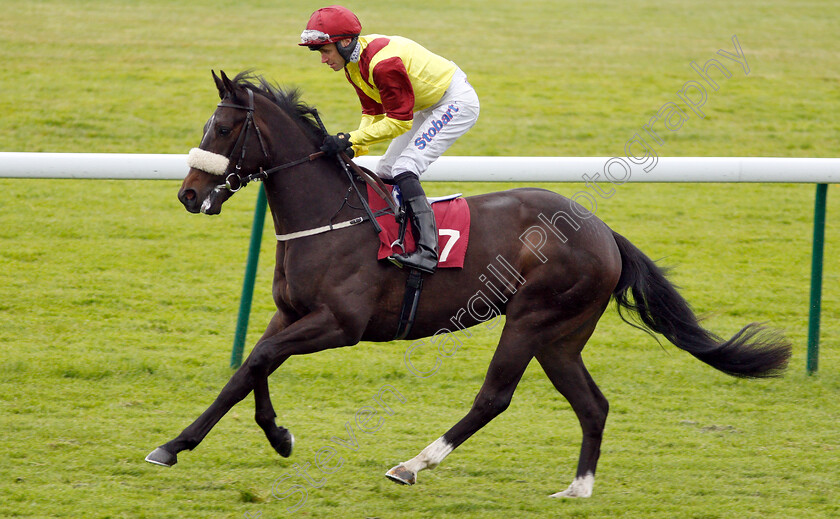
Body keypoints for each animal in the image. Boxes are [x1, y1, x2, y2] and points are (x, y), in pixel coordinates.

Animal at [146, 70, 796, 500]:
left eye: (223, 126)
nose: (188, 195)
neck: (331, 216)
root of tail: (603, 231)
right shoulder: (290, 314)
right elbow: (249, 368)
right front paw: (202, 442)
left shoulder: (339, 325)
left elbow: (260, 359)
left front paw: (262, 436)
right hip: (561, 337)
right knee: (593, 403)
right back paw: (577, 489)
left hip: (532, 318)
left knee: (494, 397)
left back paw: (413, 464)